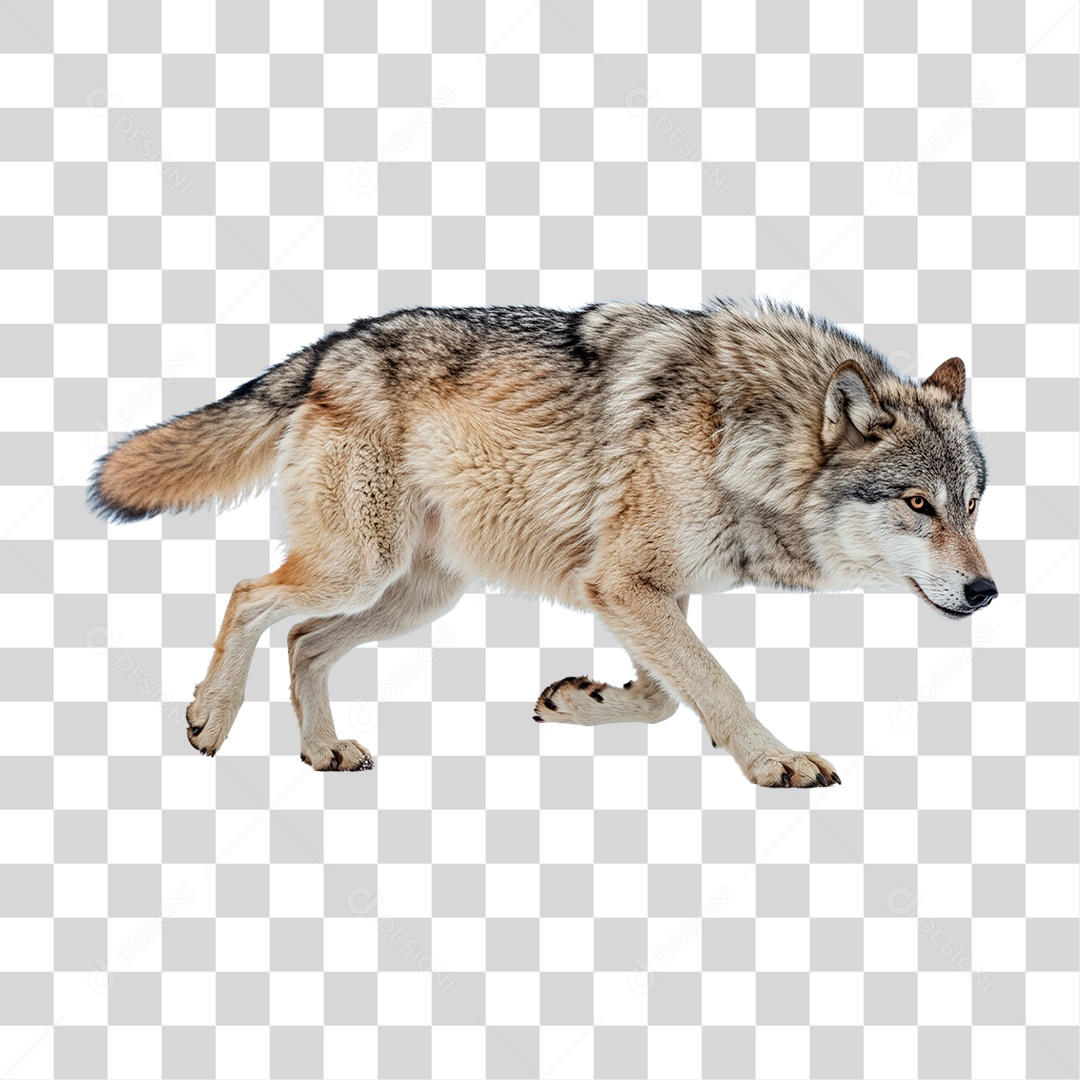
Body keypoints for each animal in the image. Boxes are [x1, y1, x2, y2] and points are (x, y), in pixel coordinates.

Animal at [88, 298, 995, 785]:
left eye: (973, 505)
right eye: (919, 504)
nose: (986, 591)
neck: (745, 438)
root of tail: (332, 347)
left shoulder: (641, 593)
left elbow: (668, 695)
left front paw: (577, 701)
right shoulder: (623, 588)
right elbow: (714, 685)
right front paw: (773, 763)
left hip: (414, 597)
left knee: (304, 641)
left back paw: (321, 751)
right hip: (360, 570)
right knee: (250, 597)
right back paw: (209, 717)